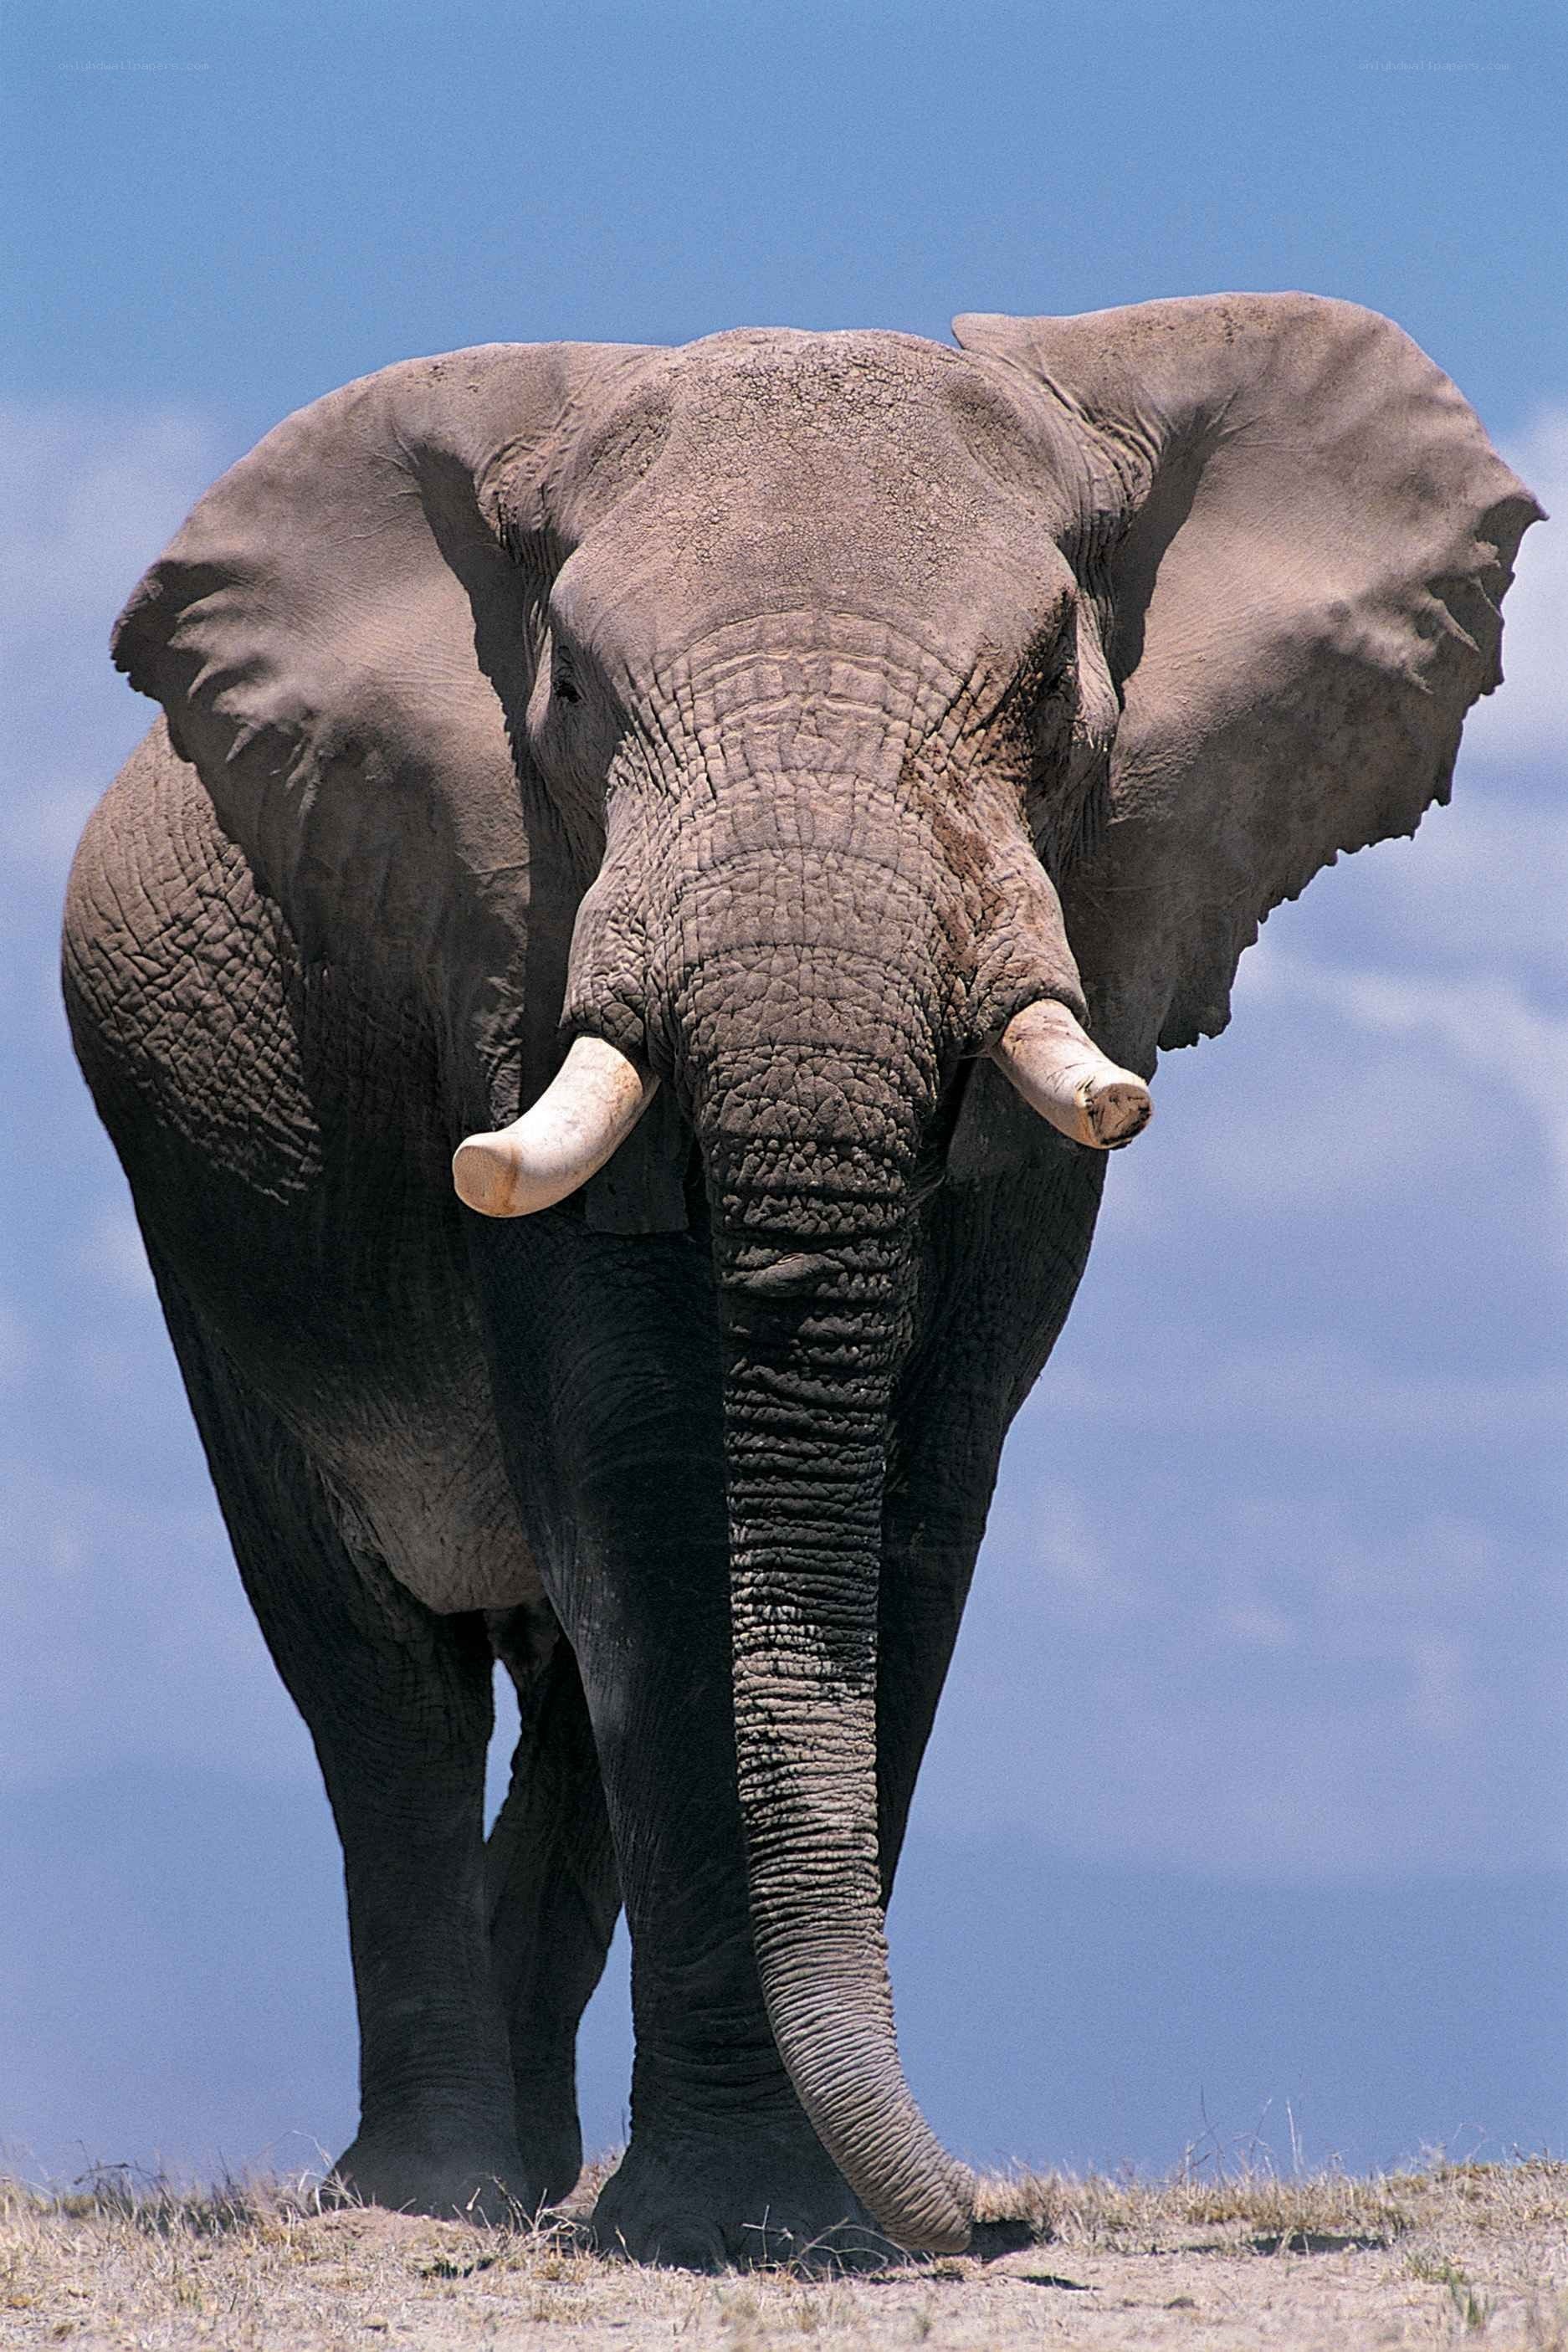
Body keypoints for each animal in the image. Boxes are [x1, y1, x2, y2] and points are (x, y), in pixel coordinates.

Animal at [62, 295, 1537, 2266]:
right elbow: (648, 1486)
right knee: (378, 1673)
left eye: (1049, 689)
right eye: (570, 697)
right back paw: (431, 2194)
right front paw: (734, 2223)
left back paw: (535, 2179)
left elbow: (912, 1496)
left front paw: (782, 2219)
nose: (994, 2213)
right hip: (199, 1217)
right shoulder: (507, 942)